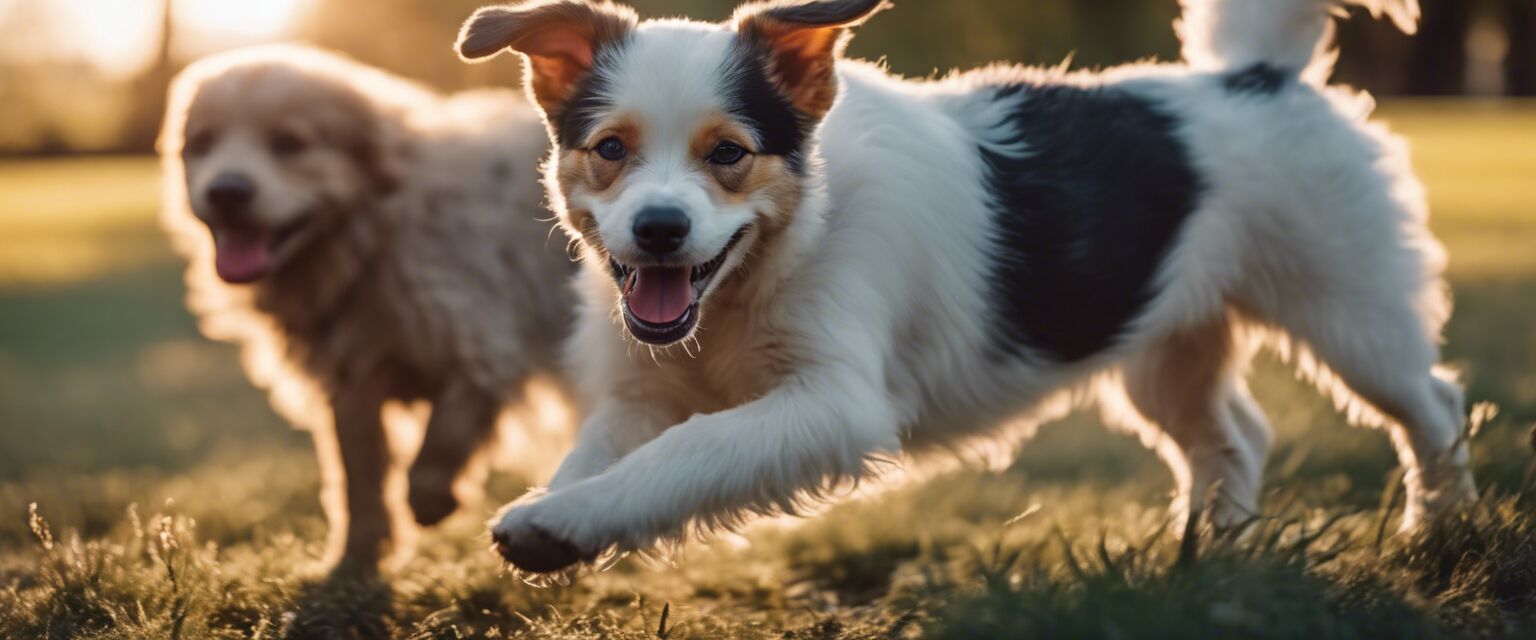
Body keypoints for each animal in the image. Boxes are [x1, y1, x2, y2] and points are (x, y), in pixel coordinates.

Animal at [158, 46, 577, 574]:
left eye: (289, 143)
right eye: (202, 143)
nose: (226, 191)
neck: (372, 235)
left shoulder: (481, 341)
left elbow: (446, 432)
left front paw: (431, 498)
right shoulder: (351, 379)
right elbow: (357, 476)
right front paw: (357, 554)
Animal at [457, 0, 1474, 574]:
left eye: (730, 154)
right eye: (610, 150)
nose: (659, 229)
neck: (762, 269)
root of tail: (1257, 73)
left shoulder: (836, 403)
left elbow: (691, 451)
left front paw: (564, 519)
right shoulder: (642, 391)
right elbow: (604, 454)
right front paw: (559, 517)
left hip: (1350, 310)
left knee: (1432, 405)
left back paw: (1439, 530)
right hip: (1163, 341)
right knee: (1232, 439)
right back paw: (1210, 560)